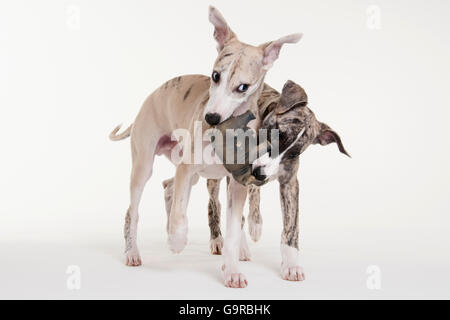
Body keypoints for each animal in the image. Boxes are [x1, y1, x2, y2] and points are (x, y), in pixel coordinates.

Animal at [108, 6, 302, 288]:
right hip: (145, 165)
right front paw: (177, 240)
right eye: (215, 76)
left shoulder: (238, 184)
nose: (210, 117)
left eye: (242, 87)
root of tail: (149, 98)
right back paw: (133, 252)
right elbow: (180, 212)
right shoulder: (187, 168)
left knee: (168, 186)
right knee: (134, 209)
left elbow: (233, 230)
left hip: (190, 171)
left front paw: (232, 271)